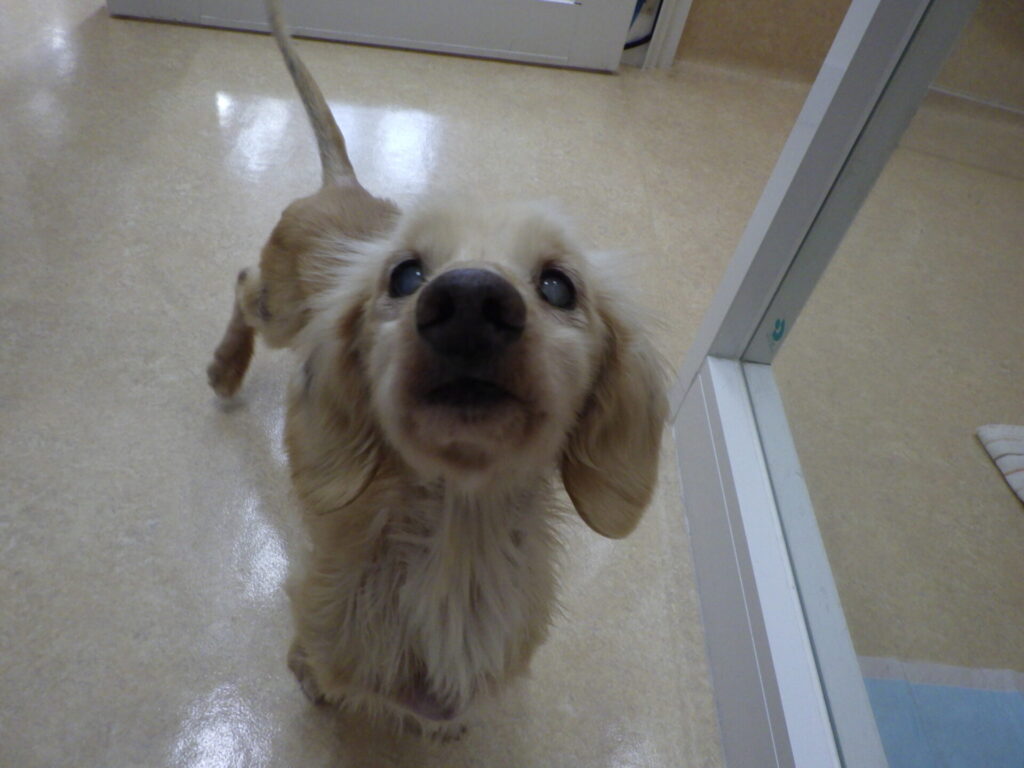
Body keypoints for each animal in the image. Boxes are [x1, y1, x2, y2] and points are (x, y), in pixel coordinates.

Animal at [207, 0, 667, 737]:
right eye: (405, 275)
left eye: (559, 285)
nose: (471, 303)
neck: (458, 542)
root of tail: (343, 185)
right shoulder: (318, 638)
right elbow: (318, 674)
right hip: (279, 309)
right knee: (244, 283)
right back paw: (225, 368)